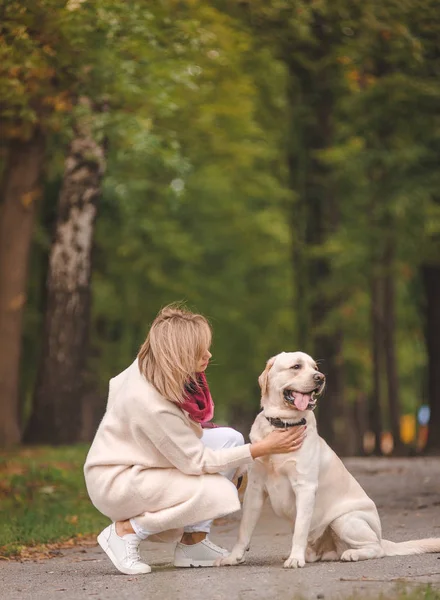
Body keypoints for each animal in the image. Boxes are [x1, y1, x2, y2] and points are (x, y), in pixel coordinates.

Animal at [217, 352, 440, 568]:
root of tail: (382, 538)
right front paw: (234, 557)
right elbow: (244, 529)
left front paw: (295, 559)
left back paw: (351, 554)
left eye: (315, 367)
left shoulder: (305, 487)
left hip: (345, 520)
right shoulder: (255, 489)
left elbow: (300, 529)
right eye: (296, 366)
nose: (320, 377)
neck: (281, 425)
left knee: (376, 548)